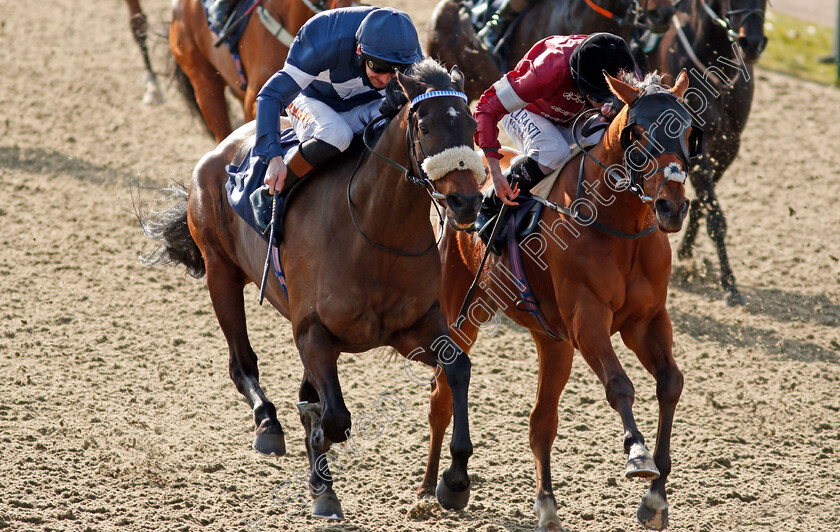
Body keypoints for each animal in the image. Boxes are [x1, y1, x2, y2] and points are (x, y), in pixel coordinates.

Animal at [141, 59, 482, 520]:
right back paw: (268, 424)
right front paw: (320, 471)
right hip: (220, 273)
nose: (468, 203)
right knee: (241, 363)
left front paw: (455, 480)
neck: (375, 232)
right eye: (426, 128)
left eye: (472, 126)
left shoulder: (414, 328)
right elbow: (334, 417)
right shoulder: (313, 333)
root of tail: (221, 148)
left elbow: (457, 367)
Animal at [424, 71, 692, 532]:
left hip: (552, 340)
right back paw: (436, 486)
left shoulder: (646, 322)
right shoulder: (587, 321)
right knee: (443, 391)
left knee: (541, 422)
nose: (671, 207)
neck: (620, 226)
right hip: (461, 310)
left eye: (690, 131)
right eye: (639, 135)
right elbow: (619, 384)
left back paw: (546, 506)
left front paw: (656, 499)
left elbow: (670, 383)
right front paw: (638, 455)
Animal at [644, 0, 768, 304]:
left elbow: (703, 203)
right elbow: (715, 216)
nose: (752, 43)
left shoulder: (729, 146)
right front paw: (730, 283)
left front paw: (687, 253)